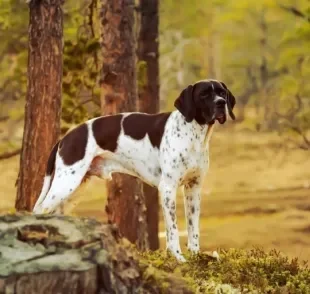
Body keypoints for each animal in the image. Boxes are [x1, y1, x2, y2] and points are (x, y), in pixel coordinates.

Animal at [32, 78, 236, 262]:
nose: (221, 103)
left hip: (74, 189)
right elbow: (173, 229)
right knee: (40, 210)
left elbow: (193, 227)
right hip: (65, 184)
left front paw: (196, 255)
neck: (194, 134)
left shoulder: (193, 189)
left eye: (222, 93)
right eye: (204, 95)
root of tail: (65, 137)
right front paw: (178, 257)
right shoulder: (168, 188)